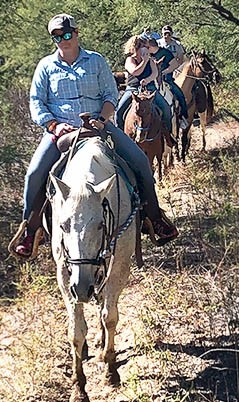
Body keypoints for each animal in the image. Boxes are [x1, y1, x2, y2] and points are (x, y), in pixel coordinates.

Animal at [48, 137, 136, 400]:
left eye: (100, 225)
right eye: (63, 225)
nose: (82, 288)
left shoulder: (119, 267)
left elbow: (110, 317)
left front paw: (110, 369)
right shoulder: (65, 276)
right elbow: (76, 331)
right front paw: (78, 386)